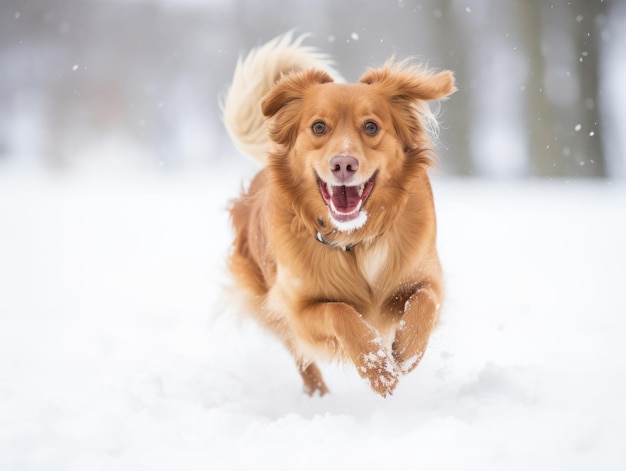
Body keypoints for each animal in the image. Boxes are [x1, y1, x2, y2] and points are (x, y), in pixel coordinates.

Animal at [219, 31, 454, 396]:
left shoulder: (428, 276)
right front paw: (378, 369)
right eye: (318, 127)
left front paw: (405, 353)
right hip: (269, 304)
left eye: (371, 127)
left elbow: (425, 300)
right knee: (301, 355)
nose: (343, 164)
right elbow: (340, 312)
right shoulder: (299, 308)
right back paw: (318, 395)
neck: (355, 239)